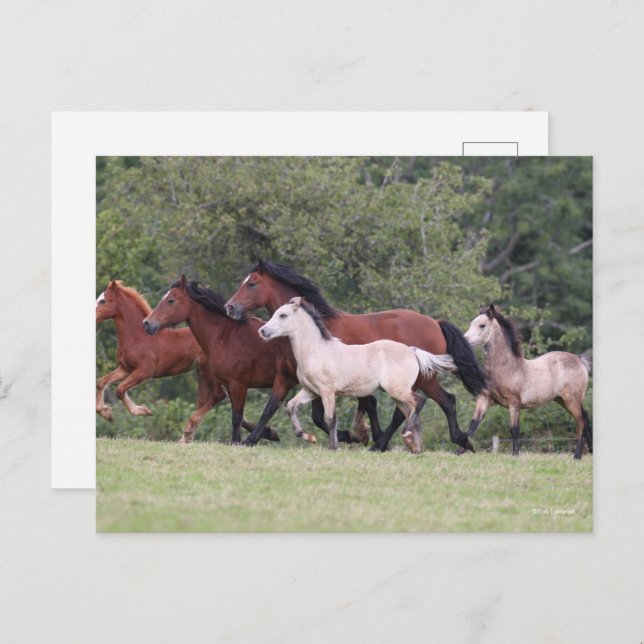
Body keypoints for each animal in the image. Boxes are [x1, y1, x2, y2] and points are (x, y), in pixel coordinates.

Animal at [96, 280, 276, 443]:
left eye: (103, 301)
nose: (93, 316)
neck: (138, 337)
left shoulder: (144, 372)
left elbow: (119, 389)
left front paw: (143, 411)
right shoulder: (125, 369)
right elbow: (101, 382)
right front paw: (106, 412)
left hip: (206, 371)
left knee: (217, 396)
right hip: (204, 373)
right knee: (211, 401)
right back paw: (269, 433)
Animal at [142, 275, 345, 445]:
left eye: (171, 300)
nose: (147, 323)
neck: (226, 337)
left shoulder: (238, 385)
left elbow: (236, 417)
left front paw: (237, 442)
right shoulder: (230, 385)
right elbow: (238, 415)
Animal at [259, 297, 458, 451]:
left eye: (283, 315)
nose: (262, 331)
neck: (317, 350)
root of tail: (412, 351)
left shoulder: (327, 391)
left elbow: (330, 419)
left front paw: (333, 447)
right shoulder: (310, 391)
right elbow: (291, 407)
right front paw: (308, 437)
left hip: (398, 390)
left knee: (419, 402)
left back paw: (407, 436)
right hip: (397, 393)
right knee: (409, 410)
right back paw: (414, 446)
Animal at [463, 304, 592, 459]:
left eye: (482, 325)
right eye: (471, 323)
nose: (464, 340)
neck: (506, 368)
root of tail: (580, 360)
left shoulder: (514, 402)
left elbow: (514, 430)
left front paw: (515, 455)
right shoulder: (484, 399)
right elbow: (472, 426)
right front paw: (457, 452)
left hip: (572, 400)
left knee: (581, 423)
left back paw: (577, 456)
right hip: (562, 400)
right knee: (585, 420)